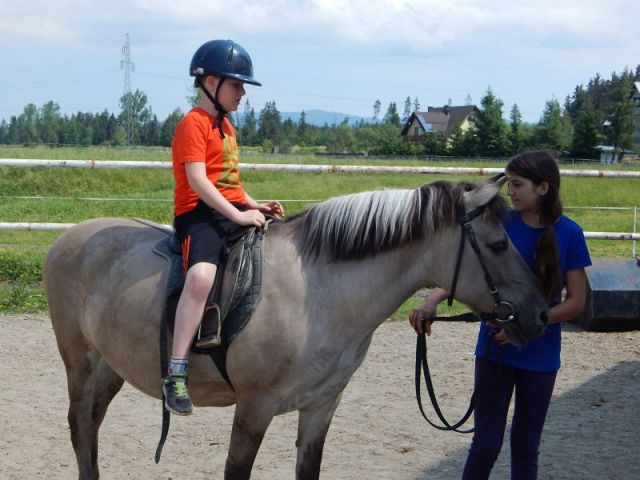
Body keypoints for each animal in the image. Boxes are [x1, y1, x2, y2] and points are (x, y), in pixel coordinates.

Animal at [45, 176, 548, 480]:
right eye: (499, 244)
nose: (541, 313)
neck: (318, 293)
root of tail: (68, 237)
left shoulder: (321, 406)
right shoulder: (254, 409)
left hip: (113, 365)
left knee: (91, 424)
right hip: (78, 361)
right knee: (79, 425)